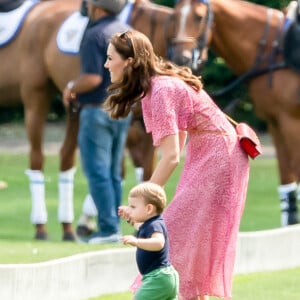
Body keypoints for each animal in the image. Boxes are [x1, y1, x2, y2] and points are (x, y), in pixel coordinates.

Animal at [170, 0, 300, 225]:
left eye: (199, 17)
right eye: (175, 16)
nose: (181, 59)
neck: (275, 50)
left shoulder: (291, 122)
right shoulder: (276, 123)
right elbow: (288, 191)